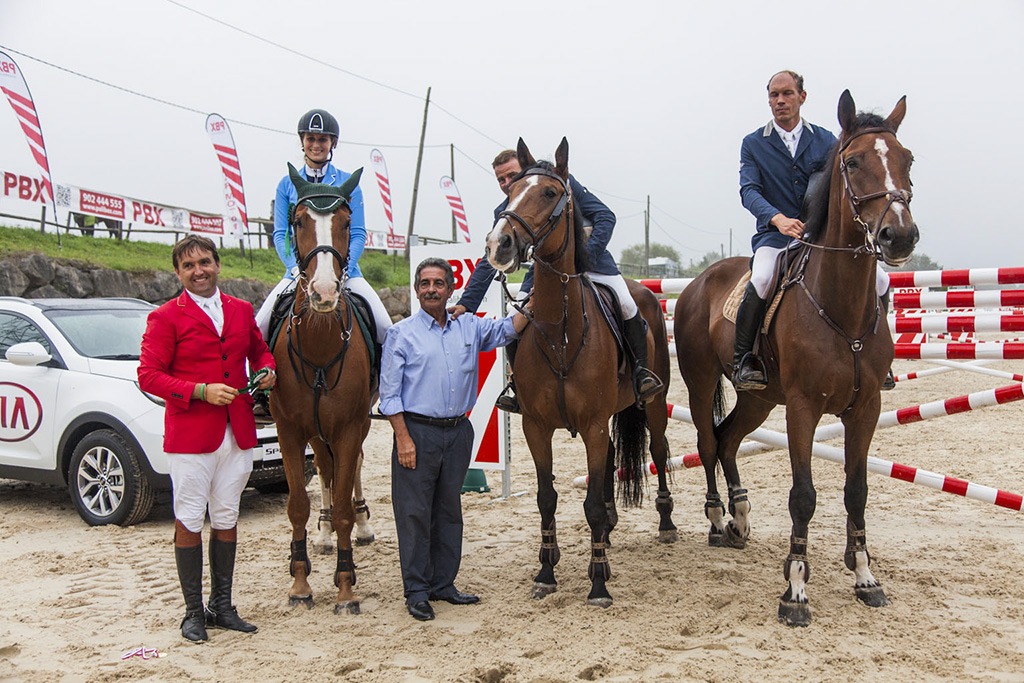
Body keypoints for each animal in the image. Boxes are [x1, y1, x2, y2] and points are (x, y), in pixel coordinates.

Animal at [483, 139, 675, 610]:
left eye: (551, 193)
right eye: (510, 190)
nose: (499, 243)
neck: (561, 331)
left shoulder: (590, 424)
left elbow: (588, 504)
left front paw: (599, 581)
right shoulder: (536, 427)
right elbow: (546, 498)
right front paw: (546, 571)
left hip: (653, 403)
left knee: (658, 451)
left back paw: (665, 523)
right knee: (610, 460)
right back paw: (610, 526)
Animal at [675, 89, 917, 626]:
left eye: (908, 159)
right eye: (853, 161)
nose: (900, 237)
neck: (841, 307)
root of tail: (700, 280)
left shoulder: (865, 408)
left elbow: (856, 490)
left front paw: (865, 576)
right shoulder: (804, 409)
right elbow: (803, 496)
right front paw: (796, 590)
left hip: (759, 398)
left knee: (728, 440)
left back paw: (740, 519)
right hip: (702, 384)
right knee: (707, 441)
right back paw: (718, 521)